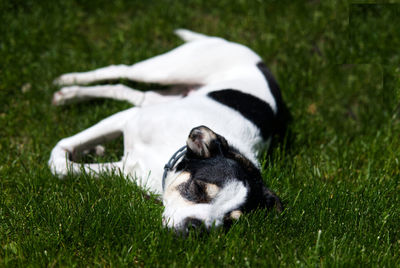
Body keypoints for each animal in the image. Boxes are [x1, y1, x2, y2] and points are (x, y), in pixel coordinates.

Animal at [49, 29, 288, 232]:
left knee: (129, 91)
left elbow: (68, 166)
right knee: (119, 70)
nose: (196, 228)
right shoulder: (127, 118)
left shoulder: (126, 168)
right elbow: (59, 155)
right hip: (164, 70)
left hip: (165, 93)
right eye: (198, 188)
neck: (165, 155)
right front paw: (72, 152)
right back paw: (68, 85)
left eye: (230, 221)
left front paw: (85, 153)